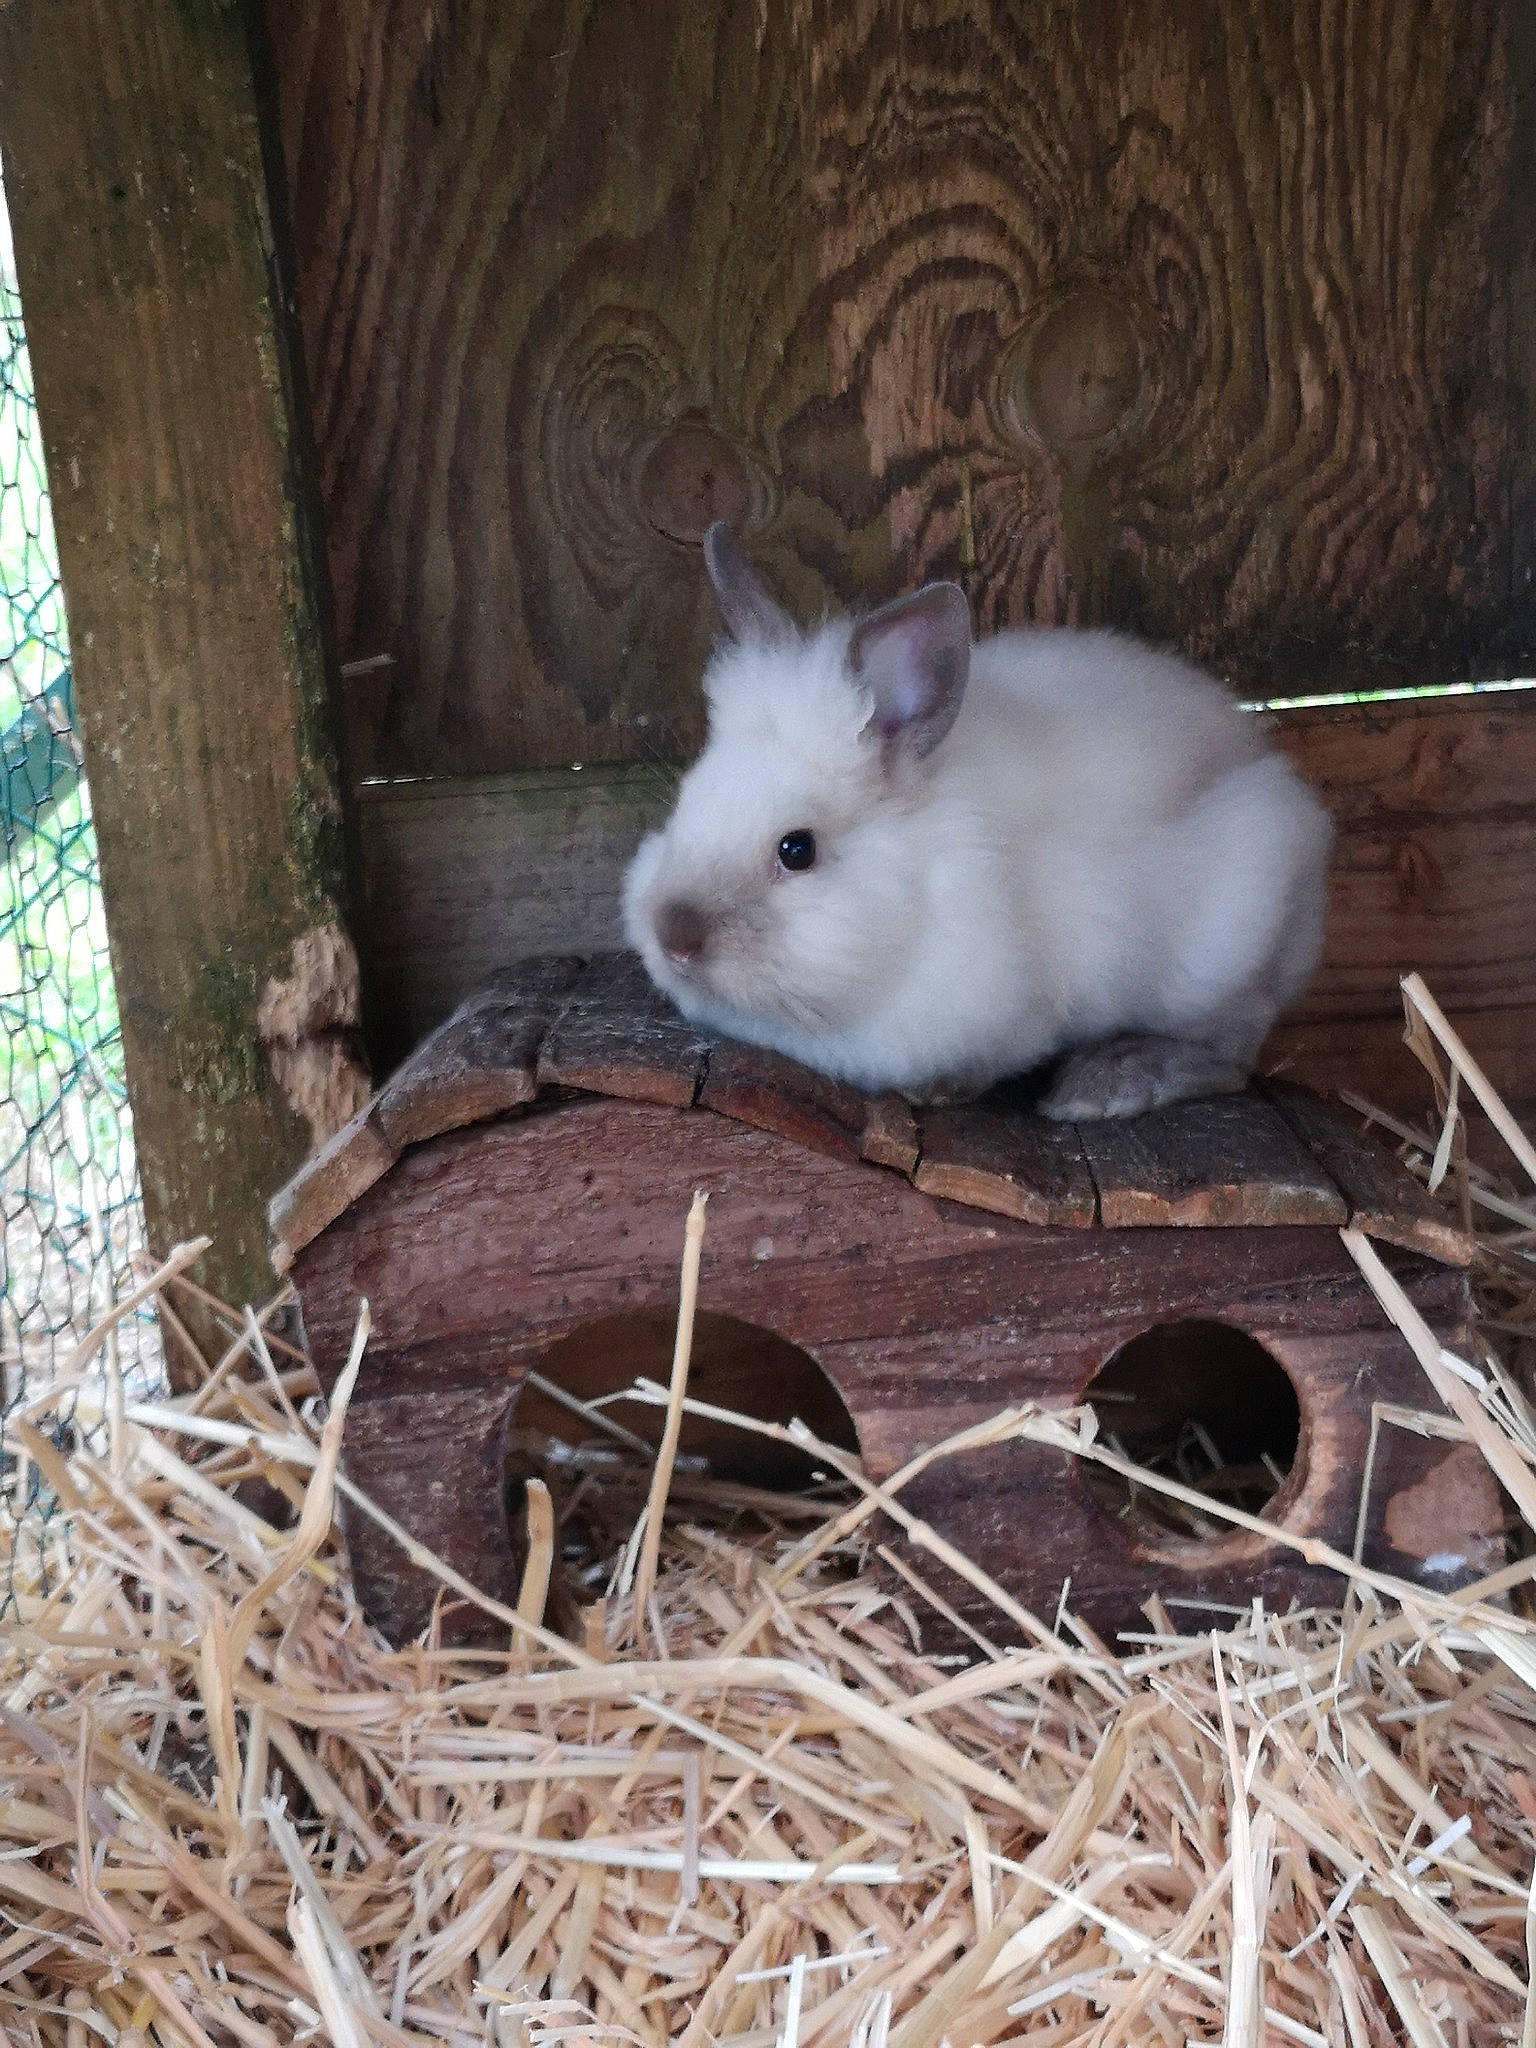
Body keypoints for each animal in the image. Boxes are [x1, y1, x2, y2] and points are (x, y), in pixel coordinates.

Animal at [622, 523, 1333, 1119]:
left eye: (798, 850)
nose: (674, 937)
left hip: (1226, 944)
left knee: (1235, 1045)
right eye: (686, 801)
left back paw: (1112, 1082)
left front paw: (939, 1091)